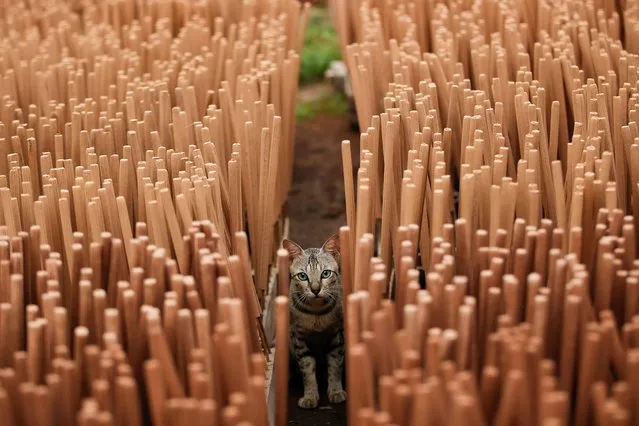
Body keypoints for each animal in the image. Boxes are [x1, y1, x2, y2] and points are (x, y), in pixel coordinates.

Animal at [284, 233, 348, 410]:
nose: (315, 289)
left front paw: (335, 391)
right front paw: (310, 395)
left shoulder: (338, 335)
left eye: (325, 273)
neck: (316, 313)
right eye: (302, 276)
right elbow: (307, 368)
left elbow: (335, 364)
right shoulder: (298, 338)